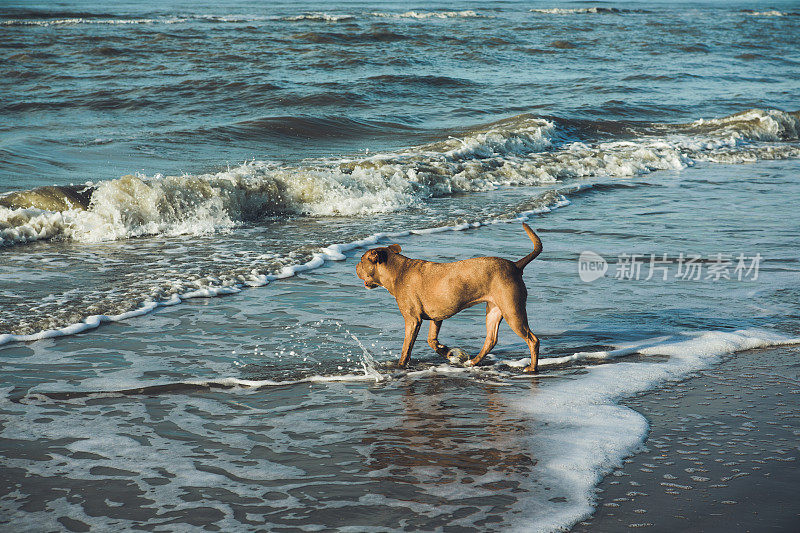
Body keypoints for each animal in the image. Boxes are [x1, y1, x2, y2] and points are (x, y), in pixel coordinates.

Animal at [356, 222, 544, 372]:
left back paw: (532, 368)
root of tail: (516, 265)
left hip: (512, 310)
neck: (397, 271)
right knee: (491, 339)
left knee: (532, 339)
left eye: (361, 260)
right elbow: (431, 340)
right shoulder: (436, 317)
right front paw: (446, 352)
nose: (355, 266)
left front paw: (401, 365)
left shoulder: (412, 319)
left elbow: (406, 347)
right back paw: (473, 361)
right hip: (494, 310)